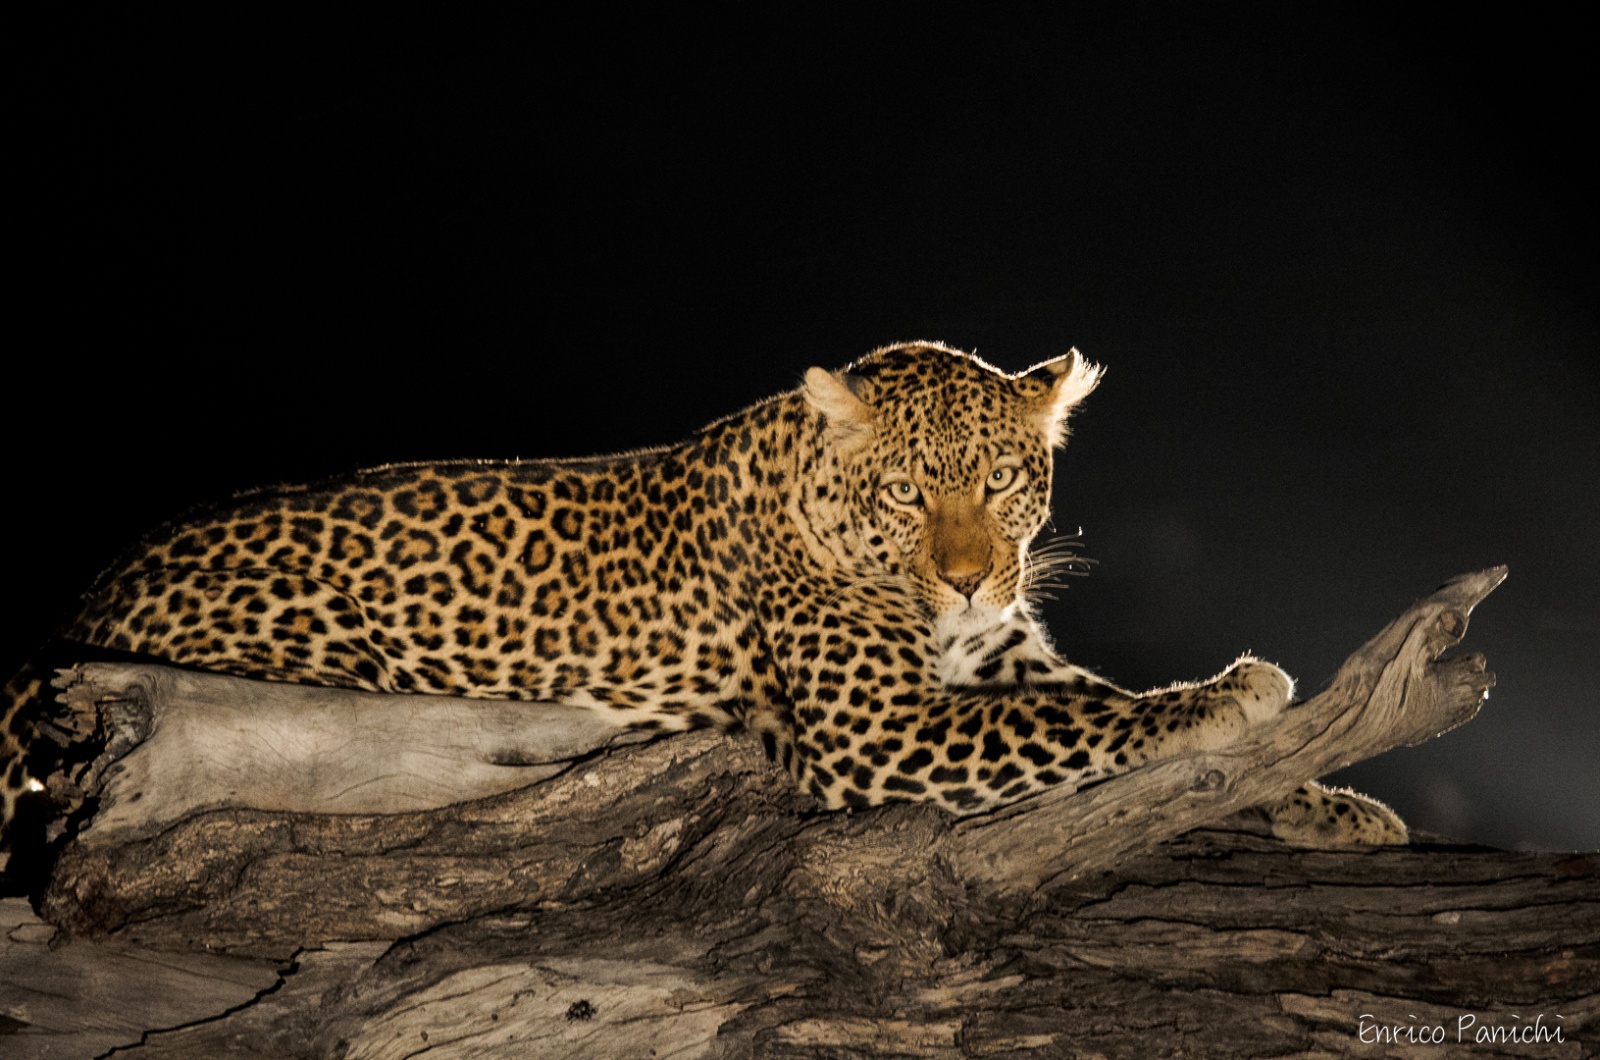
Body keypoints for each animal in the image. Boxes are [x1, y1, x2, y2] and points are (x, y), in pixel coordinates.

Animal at [0, 341, 1404, 864]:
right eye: (910, 489)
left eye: (1003, 478)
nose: (966, 574)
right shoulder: (883, 731)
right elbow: (1091, 726)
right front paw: (1231, 697)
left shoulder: (991, 661)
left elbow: (1087, 703)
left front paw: (1327, 797)